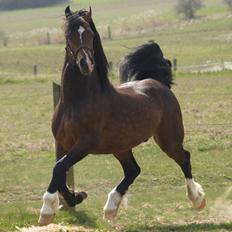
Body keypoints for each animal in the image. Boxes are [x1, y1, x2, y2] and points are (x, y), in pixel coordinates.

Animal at [39, 6, 206, 226]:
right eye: (68, 35)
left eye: (90, 34)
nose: (86, 64)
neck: (76, 102)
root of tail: (159, 83)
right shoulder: (62, 142)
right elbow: (60, 172)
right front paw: (76, 197)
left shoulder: (84, 144)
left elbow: (59, 169)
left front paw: (47, 211)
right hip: (120, 146)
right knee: (133, 170)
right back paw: (111, 207)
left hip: (168, 139)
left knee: (184, 158)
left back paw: (197, 199)